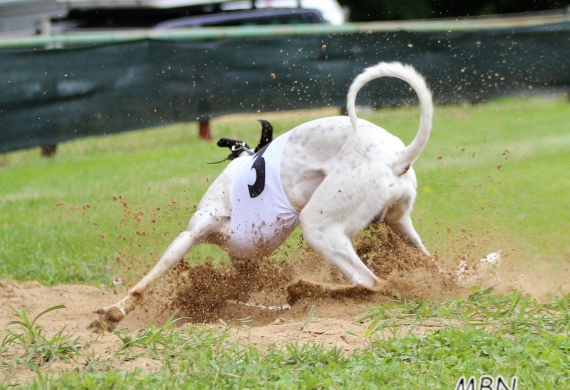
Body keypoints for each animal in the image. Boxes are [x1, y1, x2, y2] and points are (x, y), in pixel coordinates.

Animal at [94, 61, 430, 330]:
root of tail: (397, 157)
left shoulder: (192, 234)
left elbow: (149, 278)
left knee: (367, 281)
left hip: (319, 226)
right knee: (426, 263)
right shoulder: (245, 265)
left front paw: (115, 311)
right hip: (400, 225)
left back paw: (319, 294)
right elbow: (239, 294)